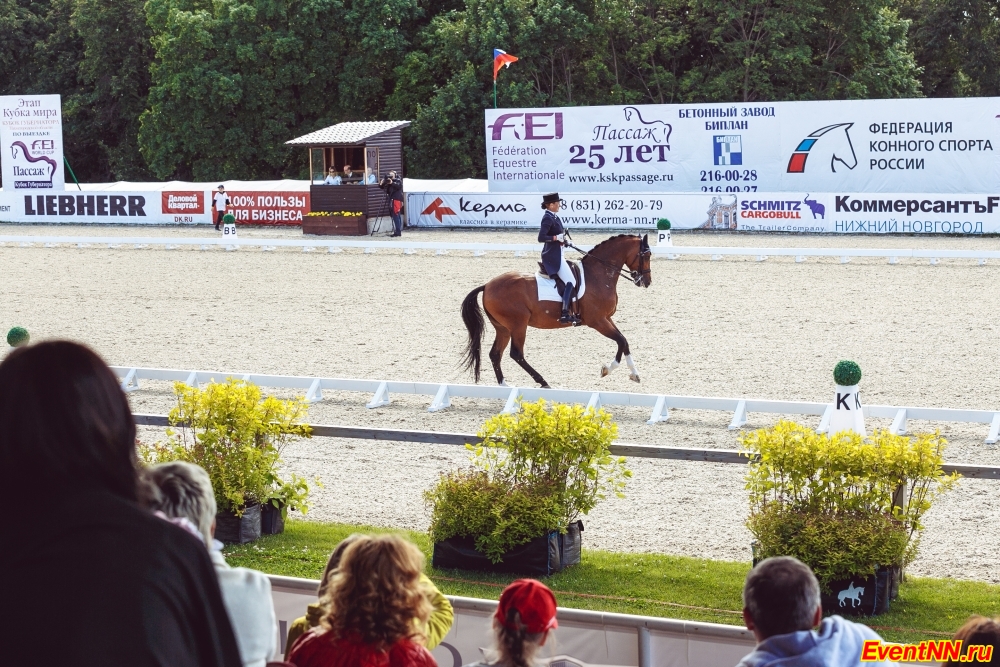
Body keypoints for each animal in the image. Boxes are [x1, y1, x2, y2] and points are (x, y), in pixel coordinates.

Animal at [458, 237, 648, 388]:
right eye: (645, 256)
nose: (647, 281)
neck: (597, 275)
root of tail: (487, 285)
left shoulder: (607, 318)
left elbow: (624, 341)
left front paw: (634, 374)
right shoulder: (598, 321)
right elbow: (620, 341)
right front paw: (607, 369)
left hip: (503, 328)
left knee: (496, 354)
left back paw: (504, 386)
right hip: (518, 325)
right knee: (516, 354)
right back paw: (543, 382)